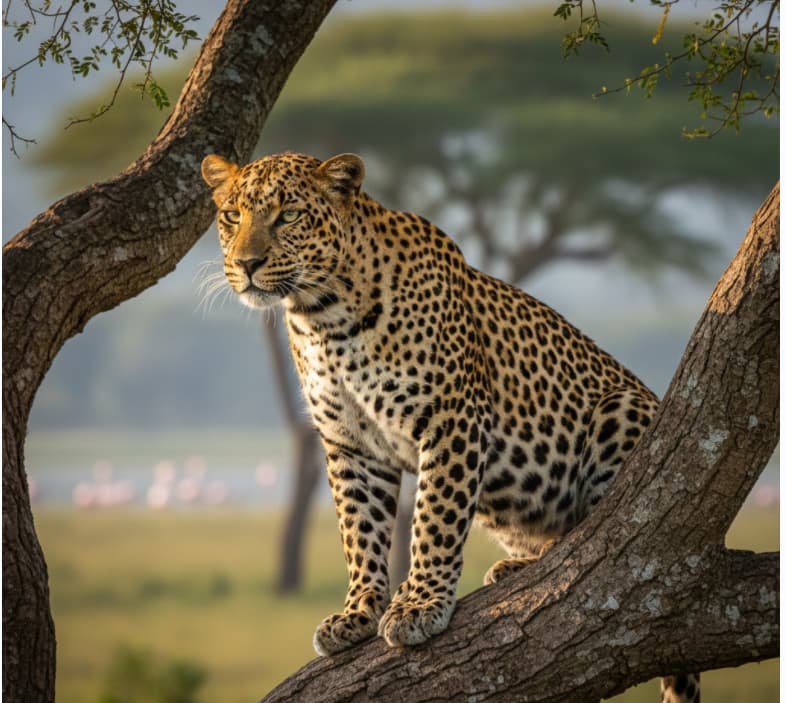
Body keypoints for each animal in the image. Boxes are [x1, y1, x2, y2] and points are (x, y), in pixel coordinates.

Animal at [201, 151, 699, 703]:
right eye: (231, 217)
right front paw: (358, 611)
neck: (323, 317)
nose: (246, 264)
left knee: (601, 531)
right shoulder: (350, 444)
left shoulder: (451, 418)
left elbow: (434, 519)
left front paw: (418, 605)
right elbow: (360, 530)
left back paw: (536, 559)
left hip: (621, 407)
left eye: (288, 216)